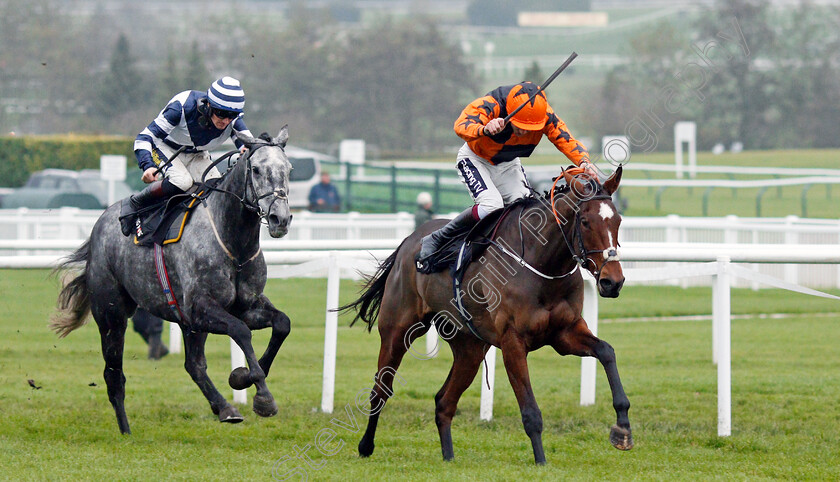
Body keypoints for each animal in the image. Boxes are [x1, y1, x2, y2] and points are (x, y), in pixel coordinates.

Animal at [53, 126, 296, 434]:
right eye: (255, 169)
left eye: (288, 169)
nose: (280, 219)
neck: (233, 243)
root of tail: (99, 225)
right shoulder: (201, 308)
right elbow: (241, 331)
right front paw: (261, 395)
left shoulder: (243, 306)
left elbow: (282, 323)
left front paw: (243, 377)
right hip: (112, 315)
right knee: (114, 375)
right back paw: (125, 430)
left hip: (185, 323)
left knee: (194, 365)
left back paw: (224, 408)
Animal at [342, 167, 632, 464]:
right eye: (585, 221)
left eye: (618, 221)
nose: (612, 282)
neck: (542, 264)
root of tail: (410, 240)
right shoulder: (513, 342)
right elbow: (530, 412)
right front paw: (541, 462)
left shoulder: (565, 332)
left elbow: (607, 351)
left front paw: (622, 427)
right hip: (397, 330)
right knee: (381, 389)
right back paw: (366, 446)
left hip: (469, 347)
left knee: (444, 401)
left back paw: (449, 458)